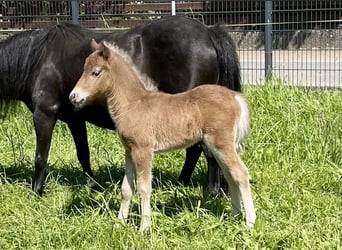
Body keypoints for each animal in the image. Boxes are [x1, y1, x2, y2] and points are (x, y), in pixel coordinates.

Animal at [0, 15, 240, 195]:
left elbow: (40, 157)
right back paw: (182, 184)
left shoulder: (44, 114)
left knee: (205, 151)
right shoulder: (75, 119)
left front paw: (37, 192)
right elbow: (83, 154)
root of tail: (208, 33)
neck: (39, 59)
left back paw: (211, 192)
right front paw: (94, 187)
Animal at [70, 39, 256, 232]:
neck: (133, 104)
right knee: (231, 176)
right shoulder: (129, 151)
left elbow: (144, 188)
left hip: (221, 144)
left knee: (241, 173)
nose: (73, 97)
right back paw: (235, 217)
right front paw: (119, 223)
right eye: (84, 69)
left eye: (95, 72)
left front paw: (144, 227)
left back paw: (249, 222)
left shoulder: (143, 150)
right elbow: (126, 188)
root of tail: (235, 97)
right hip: (219, 147)